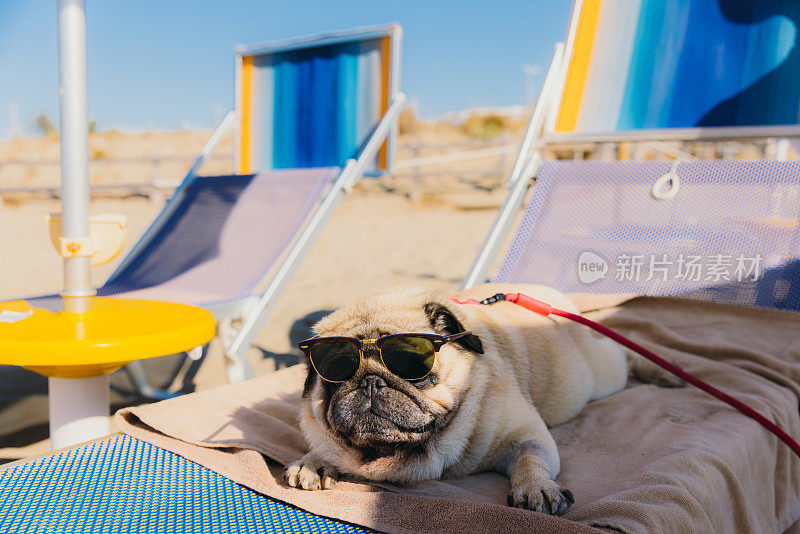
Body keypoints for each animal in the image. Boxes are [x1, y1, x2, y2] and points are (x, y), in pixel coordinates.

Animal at [284, 286, 680, 516]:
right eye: (335, 373)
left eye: (413, 364)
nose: (369, 382)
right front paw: (315, 461)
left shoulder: (526, 435)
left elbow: (530, 459)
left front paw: (536, 488)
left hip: (601, 375)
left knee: (623, 353)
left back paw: (663, 371)